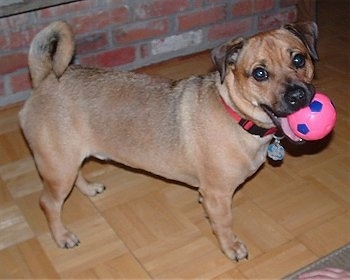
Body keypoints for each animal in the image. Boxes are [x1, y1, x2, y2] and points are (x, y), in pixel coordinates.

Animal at [19, 20, 318, 262]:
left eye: (299, 60)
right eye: (259, 73)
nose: (298, 96)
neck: (234, 115)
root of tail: (45, 78)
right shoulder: (219, 195)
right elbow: (224, 224)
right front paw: (231, 247)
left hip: (67, 160)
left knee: (76, 176)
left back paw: (90, 188)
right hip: (58, 168)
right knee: (48, 203)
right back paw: (62, 237)